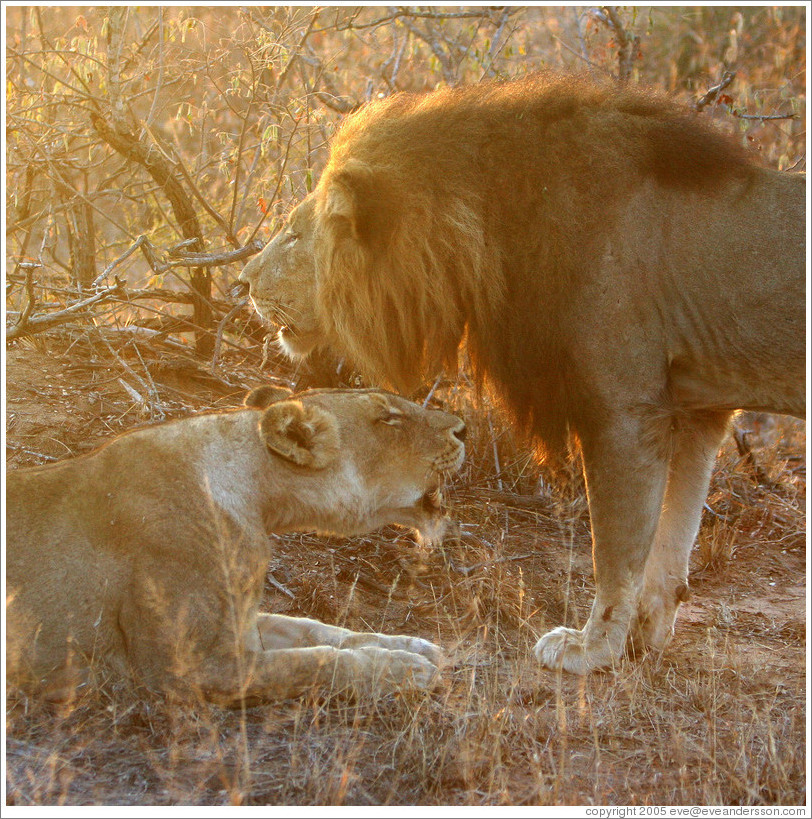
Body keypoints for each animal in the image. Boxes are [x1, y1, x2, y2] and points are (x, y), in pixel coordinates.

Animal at [6, 388, 466, 700]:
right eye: (388, 417)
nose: (464, 428)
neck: (258, 498)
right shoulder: (184, 668)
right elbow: (312, 662)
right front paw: (404, 669)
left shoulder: (242, 622)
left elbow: (318, 629)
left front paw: (411, 645)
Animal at [238, 73, 804, 676]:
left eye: (294, 235)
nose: (243, 281)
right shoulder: (697, 409)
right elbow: (673, 535)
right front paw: (645, 636)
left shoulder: (626, 409)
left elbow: (616, 548)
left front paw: (591, 648)